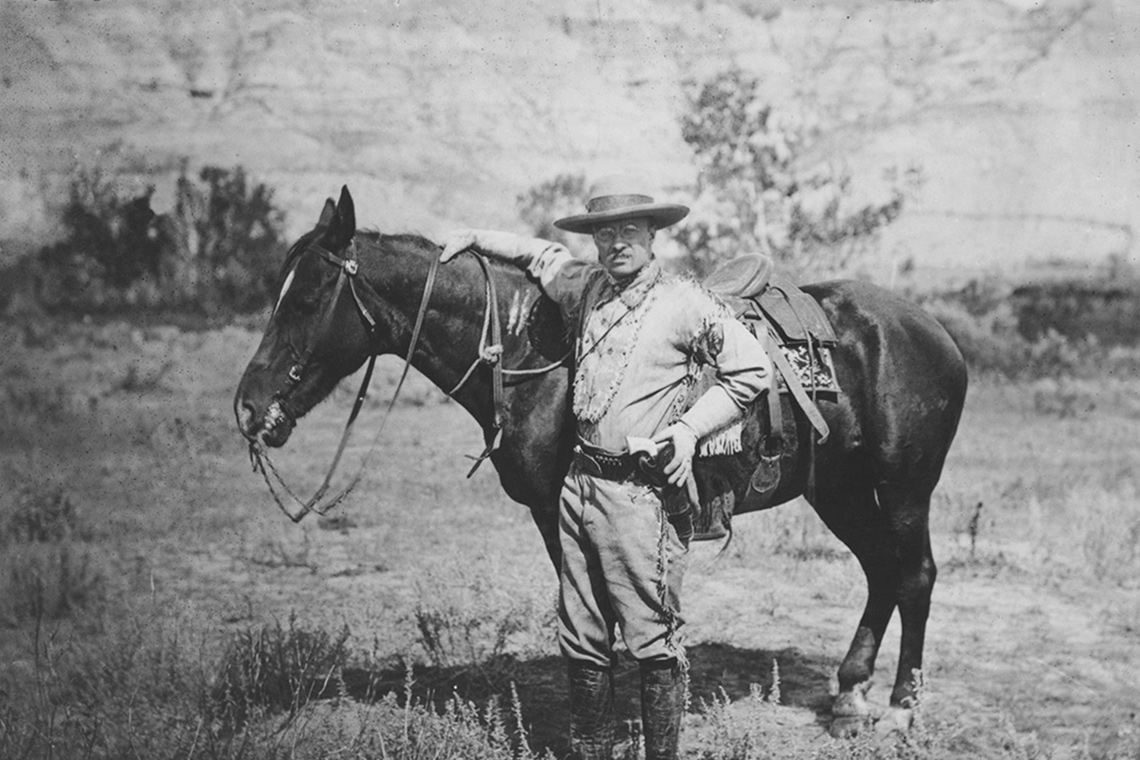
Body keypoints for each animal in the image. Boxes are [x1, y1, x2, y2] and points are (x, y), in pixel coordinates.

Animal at [235, 186, 966, 733]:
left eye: (307, 298)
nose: (248, 406)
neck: (529, 351)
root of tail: (934, 332)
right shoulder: (555, 513)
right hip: (840, 490)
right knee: (881, 571)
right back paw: (849, 696)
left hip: (906, 489)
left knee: (915, 575)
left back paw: (900, 709)